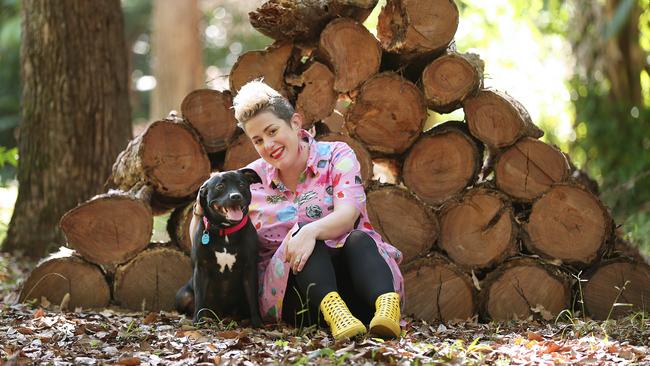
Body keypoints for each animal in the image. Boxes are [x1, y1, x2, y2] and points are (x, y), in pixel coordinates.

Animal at [176, 169, 262, 326]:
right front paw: (197, 321)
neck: (225, 231)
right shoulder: (201, 268)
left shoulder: (250, 268)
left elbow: (253, 299)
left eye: (241, 184)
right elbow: (200, 297)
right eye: (220, 186)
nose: (235, 196)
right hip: (183, 295)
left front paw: (257, 322)